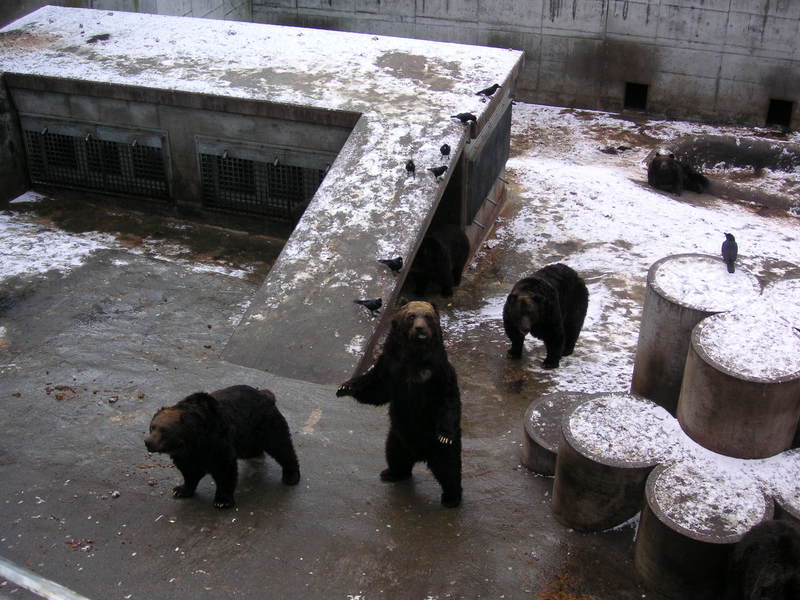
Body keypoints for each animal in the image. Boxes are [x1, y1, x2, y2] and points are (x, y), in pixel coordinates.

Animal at [144, 384, 300, 506]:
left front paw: (222, 500)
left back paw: (291, 476)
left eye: (164, 431)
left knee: (281, 447)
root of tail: (265, 394)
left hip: (266, 425)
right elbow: (190, 472)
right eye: (152, 427)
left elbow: (224, 469)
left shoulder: (216, 444)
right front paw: (181, 490)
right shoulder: (187, 455)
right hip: (248, 436)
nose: (148, 442)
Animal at [338, 300, 462, 506]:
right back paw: (391, 473)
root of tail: (420, 455)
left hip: (435, 444)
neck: (414, 358)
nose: (420, 329)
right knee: (394, 455)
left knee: (448, 468)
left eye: (427, 316)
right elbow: (376, 387)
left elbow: (448, 399)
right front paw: (346, 386)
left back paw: (451, 498)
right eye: (411, 316)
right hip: (397, 436)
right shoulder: (390, 367)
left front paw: (445, 434)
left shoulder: (438, 372)